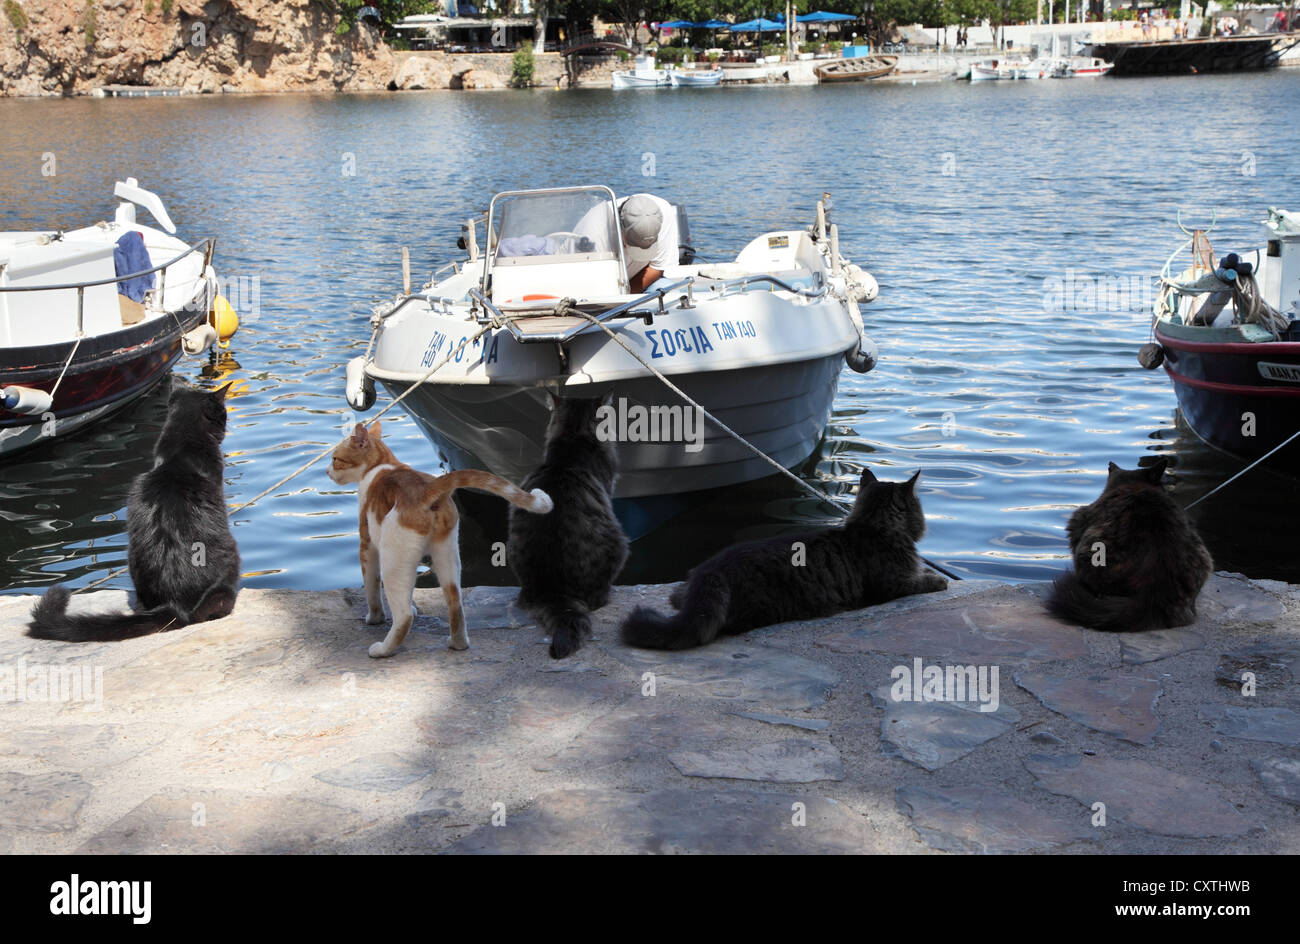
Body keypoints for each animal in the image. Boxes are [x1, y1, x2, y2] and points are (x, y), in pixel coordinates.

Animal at [28, 384, 241, 642]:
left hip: (131, 556)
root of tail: (174, 604)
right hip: (229, 559)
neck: (179, 454)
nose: (225, 428)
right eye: (223, 414)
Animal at [330, 421, 553, 657]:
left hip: (393, 560)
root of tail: (427, 489)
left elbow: (372, 588)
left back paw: (383, 649)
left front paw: (374, 618)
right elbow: (411, 591)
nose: (327, 471)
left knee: (402, 615)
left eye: (335, 459)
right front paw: (413, 607)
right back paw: (458, 643)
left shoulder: (368, 545)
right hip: (447, 556)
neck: (381, 465)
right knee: (455, 603)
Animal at [618, 465, 946, 650]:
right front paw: (938, 579)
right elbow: (923, 581)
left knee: (677, 596)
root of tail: (714, 569)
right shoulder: (892, 585)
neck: (872, 526)